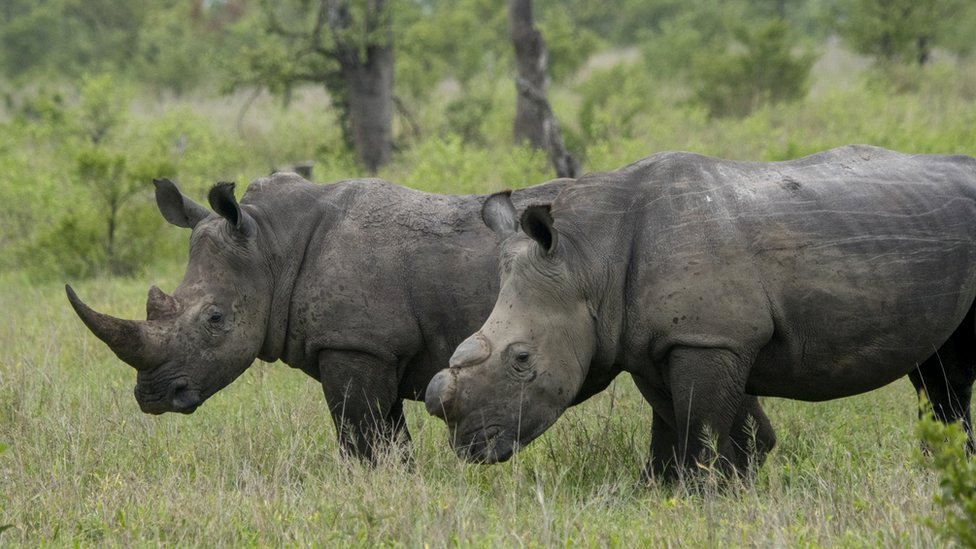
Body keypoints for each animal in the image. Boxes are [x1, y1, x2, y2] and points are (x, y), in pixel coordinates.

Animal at [66, 173, 568, 460]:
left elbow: (361, 436)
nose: (153, 398)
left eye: (215, 319)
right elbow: (387, 436)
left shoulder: (355, 343)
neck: (271, 245)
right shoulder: (375, 348)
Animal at [424, 145, 976, 478]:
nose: (468, 446)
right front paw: (666, 490)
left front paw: (705, 493)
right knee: (938, 370)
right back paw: (945, 470)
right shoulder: (654, 343)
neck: (588, 259)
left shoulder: (709, 338)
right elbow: (675, 422)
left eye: (521, 360)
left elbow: (701, 422)